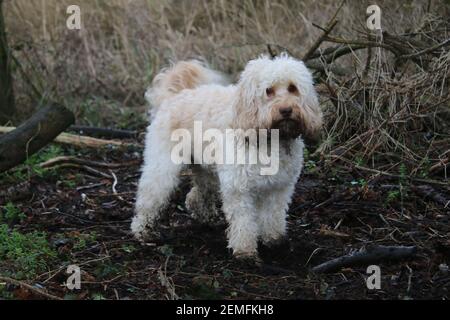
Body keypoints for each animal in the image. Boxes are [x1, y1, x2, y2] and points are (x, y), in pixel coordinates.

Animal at [132, 53, 322, 262]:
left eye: (292, 88)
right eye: (268, 91)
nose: (286, 110)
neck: (270, 136)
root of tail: (174, 96)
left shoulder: (279, 187)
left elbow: (273, 216)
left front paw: (274, 241)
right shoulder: (238, 187)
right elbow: (243, 221)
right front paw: (245, 251)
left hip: (206, 170)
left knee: (195, 196)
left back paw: (206, 217)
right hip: (163, 167)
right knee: (150, 196)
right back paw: (142, 231)